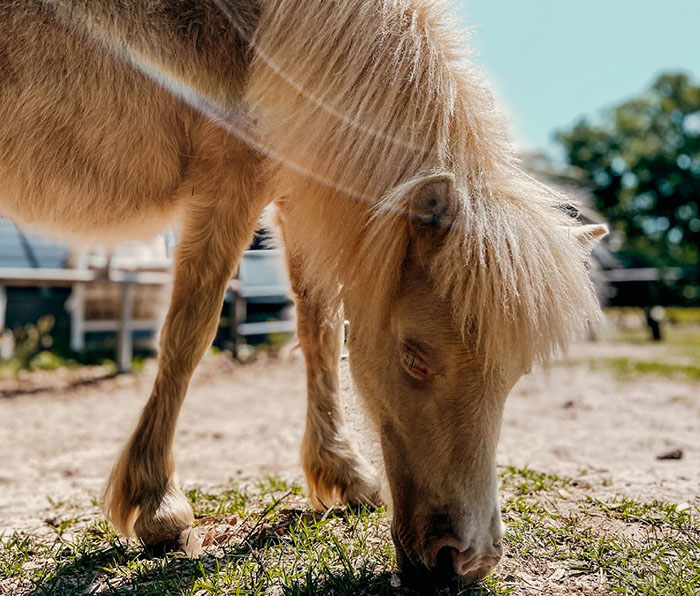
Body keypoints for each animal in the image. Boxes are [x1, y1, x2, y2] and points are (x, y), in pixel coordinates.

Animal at [0, 0, 604, 584]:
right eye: (414, 357)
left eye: (516, 373)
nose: (468, 562)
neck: (262, 32)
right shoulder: (230, 182)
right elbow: (190, 333)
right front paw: (157, 507)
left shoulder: (299, 198)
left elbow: (320, 333)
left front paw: (344, 473)